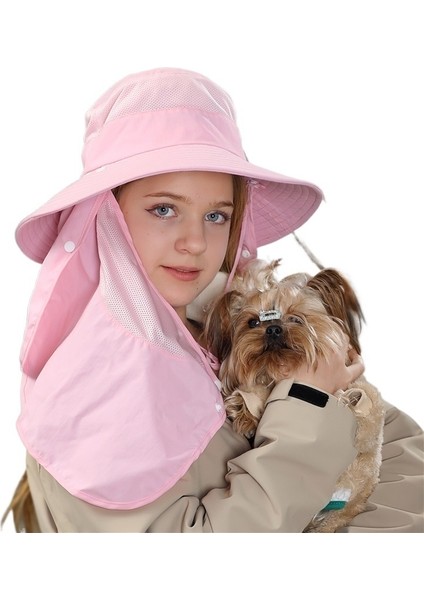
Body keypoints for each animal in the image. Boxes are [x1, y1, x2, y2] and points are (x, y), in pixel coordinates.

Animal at [203, 258, 385, 532]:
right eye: (252, 323)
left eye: (297, 319)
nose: (273, 329)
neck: (281, 371)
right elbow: (254, 395)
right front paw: (244, 413)